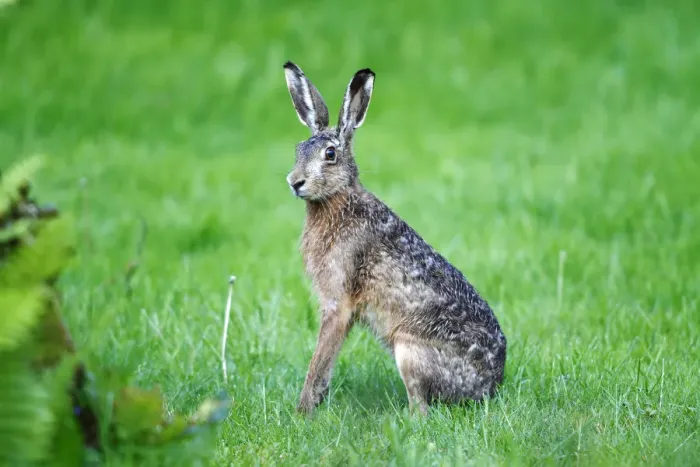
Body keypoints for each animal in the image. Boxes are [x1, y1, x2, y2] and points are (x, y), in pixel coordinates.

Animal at [282, 61, 507, 415]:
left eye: (330, 154)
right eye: (298, 150)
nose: (295, 182)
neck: (338, 201)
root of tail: (488, 388)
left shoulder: (338, 303)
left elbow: (319, 359)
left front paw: (302, 412)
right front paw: (316, 403)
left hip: (409, 350)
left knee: (422, 411)